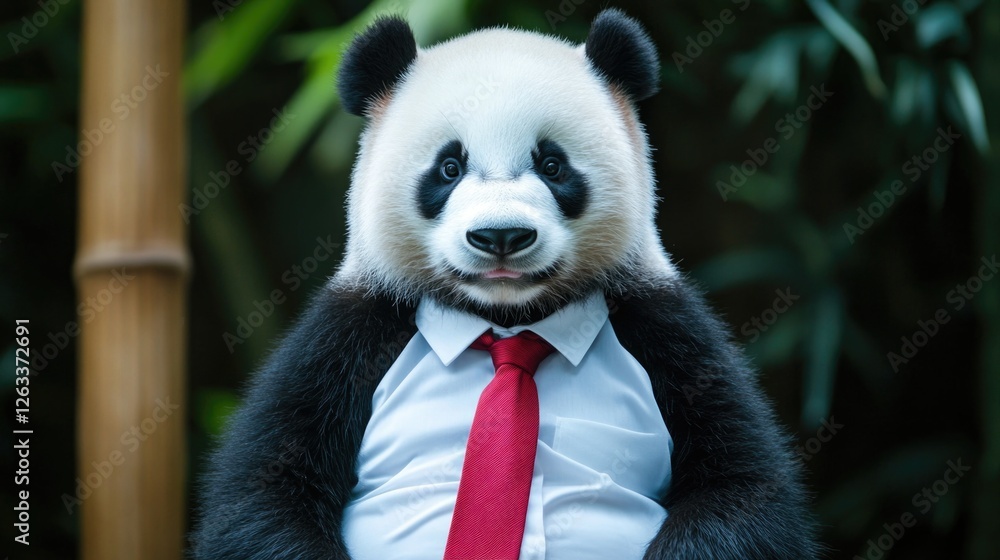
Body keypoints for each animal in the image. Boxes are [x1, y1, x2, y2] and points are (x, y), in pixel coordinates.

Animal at [192, 9, 817, 560]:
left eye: (552, 165)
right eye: (449, 168)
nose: (500, 235)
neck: (507, 316)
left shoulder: (667, 334)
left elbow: (744, 490)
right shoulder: (351, 335)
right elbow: (264, 495)